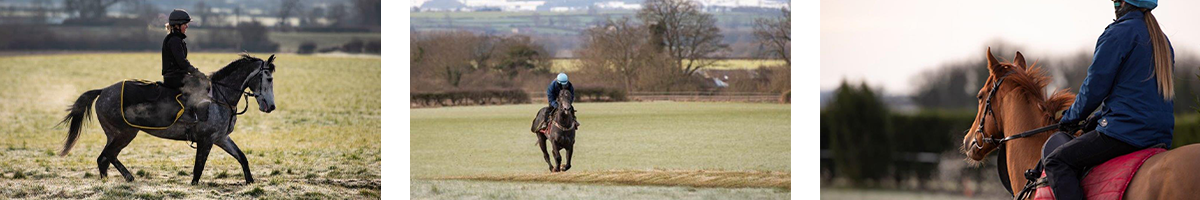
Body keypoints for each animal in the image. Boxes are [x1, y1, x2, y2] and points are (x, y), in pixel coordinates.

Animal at [60, 54, 278, 184]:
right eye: (268, 78)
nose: (271, 106)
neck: (219, 97)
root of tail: (103, 90)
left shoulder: (221, 138)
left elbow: (242, 157)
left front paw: (250, 183)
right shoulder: (206, 140)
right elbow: (198, 169)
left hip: (116, 135)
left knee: (105, 159)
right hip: (125, 133)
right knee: (106, 156)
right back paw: (128, 178)